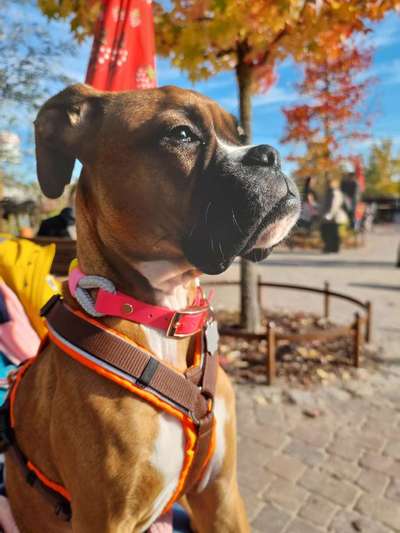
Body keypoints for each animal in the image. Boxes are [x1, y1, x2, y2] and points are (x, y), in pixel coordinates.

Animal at [3, 84, 300, 532]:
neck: (161, 315)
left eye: (240, 133)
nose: (270, 154)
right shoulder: (104, 519)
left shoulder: (221, 495)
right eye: (181, 134)